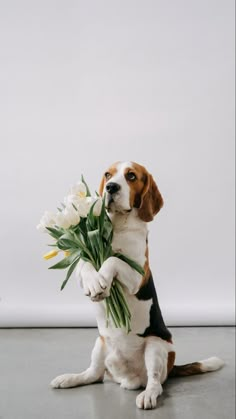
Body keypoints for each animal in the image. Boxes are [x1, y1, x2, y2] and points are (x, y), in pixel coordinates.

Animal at [50, 162, 224, 412]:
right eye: (108, 175)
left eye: (131, 176)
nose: (111, 187)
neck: (120, 227)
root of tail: (129, 379)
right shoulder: (83, 264)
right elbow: (85, 262)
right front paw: (96, 282)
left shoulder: (136, 276)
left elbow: (113, 260)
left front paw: (104, 280)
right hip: (100, 343)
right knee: (93, 375)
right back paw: (69, 378)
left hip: (156, 347)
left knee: (155, 383)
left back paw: (148, 395)